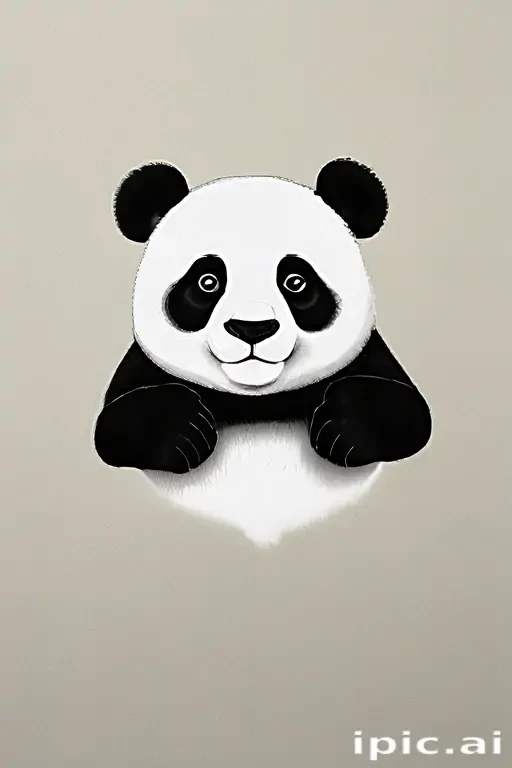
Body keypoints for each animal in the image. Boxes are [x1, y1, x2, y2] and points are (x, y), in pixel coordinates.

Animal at [94, 158, 432, 545]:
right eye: (207, 282)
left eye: (295, 282)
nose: (252, 328)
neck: (257, 404)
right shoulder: (141, 366)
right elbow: (116, 426)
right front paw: (185, 431)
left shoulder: (370, 355)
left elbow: (406, 413)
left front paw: (341, 426)